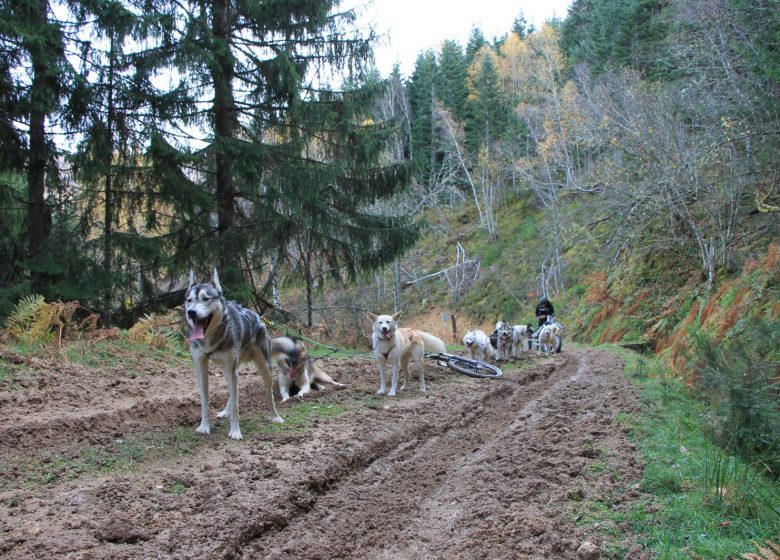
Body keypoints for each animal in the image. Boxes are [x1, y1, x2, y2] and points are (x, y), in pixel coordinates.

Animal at [184, 270, 284, 440]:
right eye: (189, 300)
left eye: (206, 298)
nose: (191, 312)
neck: (211, 339)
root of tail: (257, 317)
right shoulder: (201, 369)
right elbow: (205, 403)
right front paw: (204, 427)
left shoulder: (232, 371)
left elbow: (236, 408)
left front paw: (235, 431)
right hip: (228, 370)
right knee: (232, 391)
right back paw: (225, 411)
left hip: (264, 369)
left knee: (269, 394)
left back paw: (275, 416)